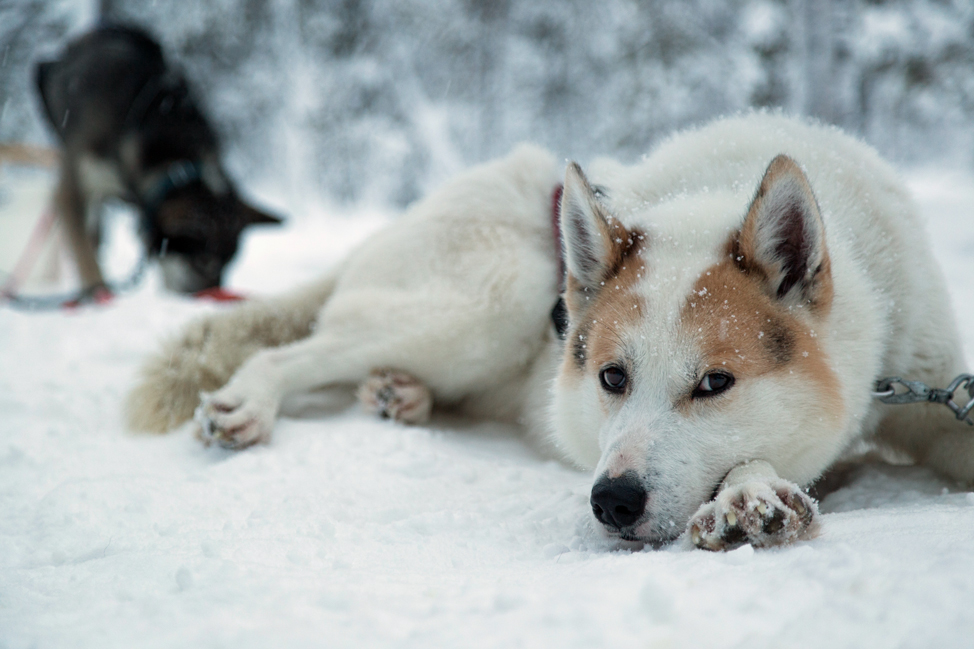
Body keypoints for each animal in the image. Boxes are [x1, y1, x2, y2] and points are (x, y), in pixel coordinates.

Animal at [126, 114, 972, 548]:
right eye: (611, 377)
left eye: (715, 383)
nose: (614, 500)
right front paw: (753, 488)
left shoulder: (937, 386)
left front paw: (756, 484)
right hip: (486, 305)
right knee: (289, 351)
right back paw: (250, 403)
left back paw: (402, 394)